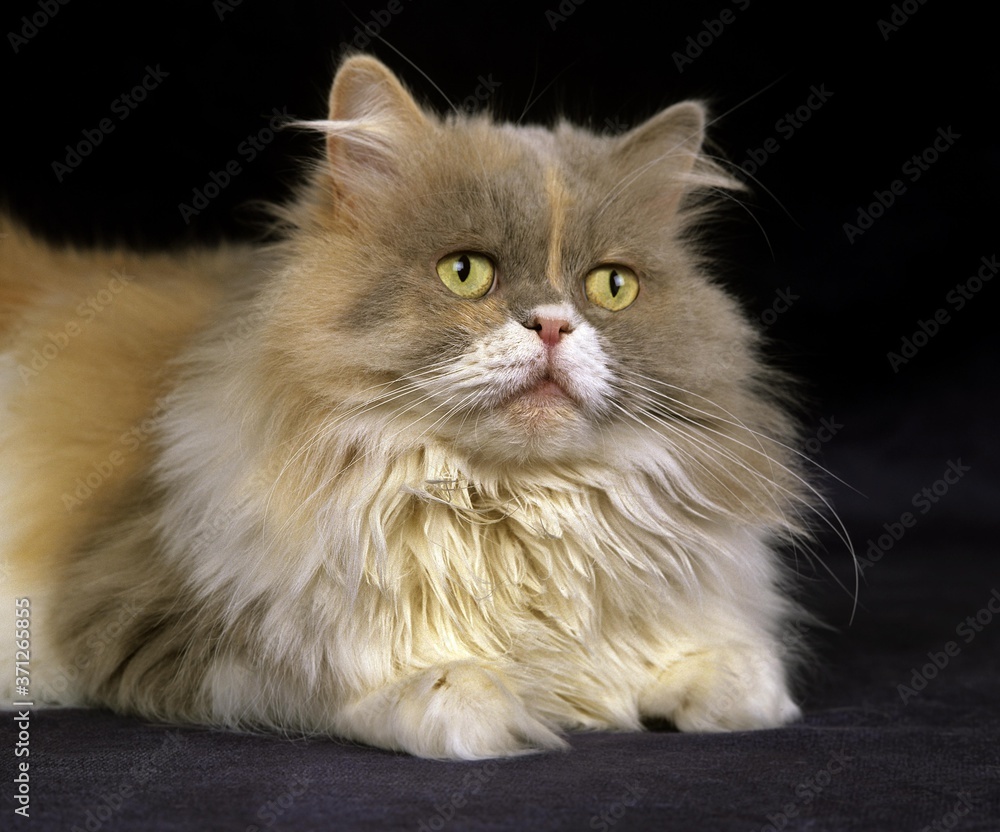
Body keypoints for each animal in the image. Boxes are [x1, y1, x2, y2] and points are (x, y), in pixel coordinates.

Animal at [1, 53, 812, 760]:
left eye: (612, 287)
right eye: (465, 272)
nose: (554, 324)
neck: (509, 509)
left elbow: (736, 677)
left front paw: (712, 688)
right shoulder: (149, 620)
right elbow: (344, 681)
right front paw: (492, 704)